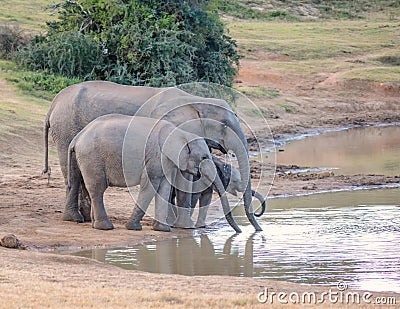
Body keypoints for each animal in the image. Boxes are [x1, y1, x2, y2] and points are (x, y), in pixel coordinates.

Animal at [66, 114, 241, 232]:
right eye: (204, 157)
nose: (239, 231)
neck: (180, 133)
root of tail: (77, 138)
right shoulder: (156, 155)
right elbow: (151, 185)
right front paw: (134, 228)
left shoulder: (167, 161)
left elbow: (165, 188)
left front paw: (163, 229)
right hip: (92, 157)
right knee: (97, 189)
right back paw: (105, 227)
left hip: (84, 158)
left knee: (81, 184)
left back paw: (92, 224)